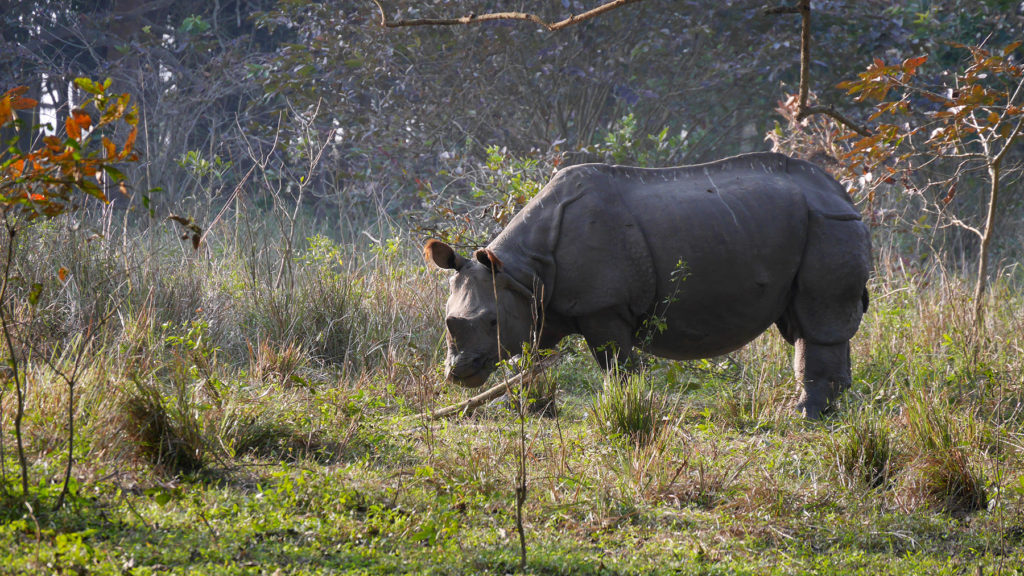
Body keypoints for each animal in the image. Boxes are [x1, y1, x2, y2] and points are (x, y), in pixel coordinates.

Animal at [423, 150, 872, 414]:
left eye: (492, 322)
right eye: (446, 322)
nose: (459, 373)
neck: (519, 269)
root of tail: (844, 195)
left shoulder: (602, 307)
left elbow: (617, 364)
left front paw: (626, 407)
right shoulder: (534, 302)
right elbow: (531, 361)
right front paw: (528, 409)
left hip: (829, 223)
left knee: (818, 321)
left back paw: (804, 414)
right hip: (807, 222)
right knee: (804, 324)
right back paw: (824, 409)